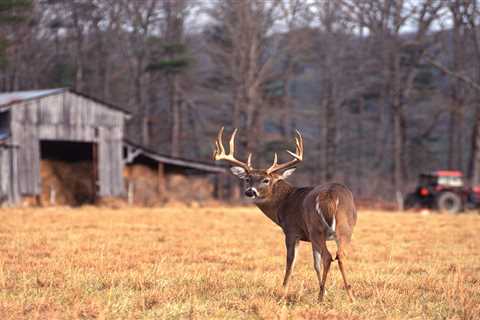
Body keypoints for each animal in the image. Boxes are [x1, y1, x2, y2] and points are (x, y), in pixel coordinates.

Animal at [213, 126, 356, 302]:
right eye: (247, 179)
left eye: (266, 180)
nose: (250, 192)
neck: (285, 201)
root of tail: (330, 197)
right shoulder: (308, 238)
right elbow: (316, 264)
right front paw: (326, 290)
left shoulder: (292, 231)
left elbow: (290, 262)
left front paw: (283, 291)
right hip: (345, 228)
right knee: (340, 255)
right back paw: (350, 296)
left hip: (316, 228)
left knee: (329, 256)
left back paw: (321, 297)